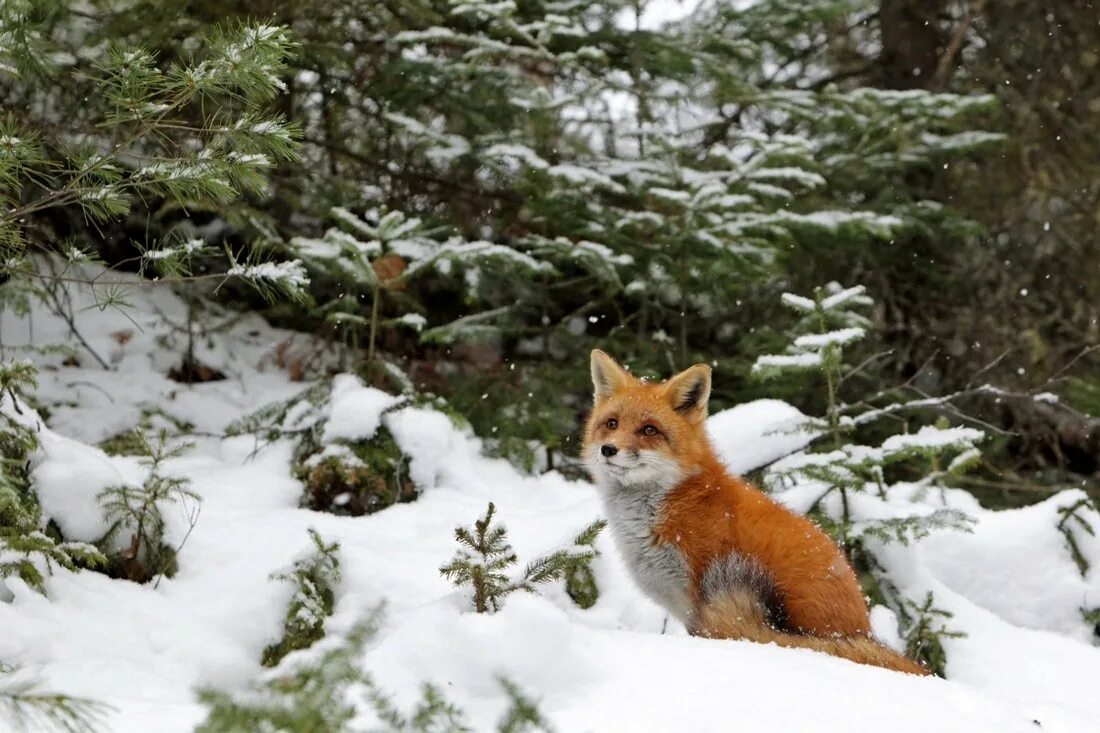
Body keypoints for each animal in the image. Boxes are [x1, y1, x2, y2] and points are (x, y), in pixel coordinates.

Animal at [585, 347, 928, 673]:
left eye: (649, 430)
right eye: (612, 424)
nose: (608, 450)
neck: (675, 502)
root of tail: (864, 629)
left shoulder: (699, 597)